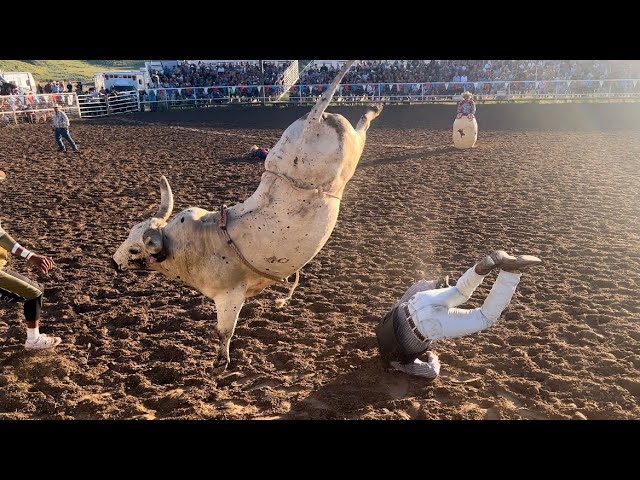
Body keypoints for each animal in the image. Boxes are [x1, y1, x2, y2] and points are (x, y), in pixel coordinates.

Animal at [112, 60, 382, 374]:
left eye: (135, 249)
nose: (113, 261)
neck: (189, 245)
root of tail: (313, 119)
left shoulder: (228, 297)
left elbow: (224, 331)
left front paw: (220, 363)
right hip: (346, 146)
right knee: (360, 125)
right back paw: (375, 107)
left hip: (345, 155)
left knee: (360, 130)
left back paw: (373, 108)